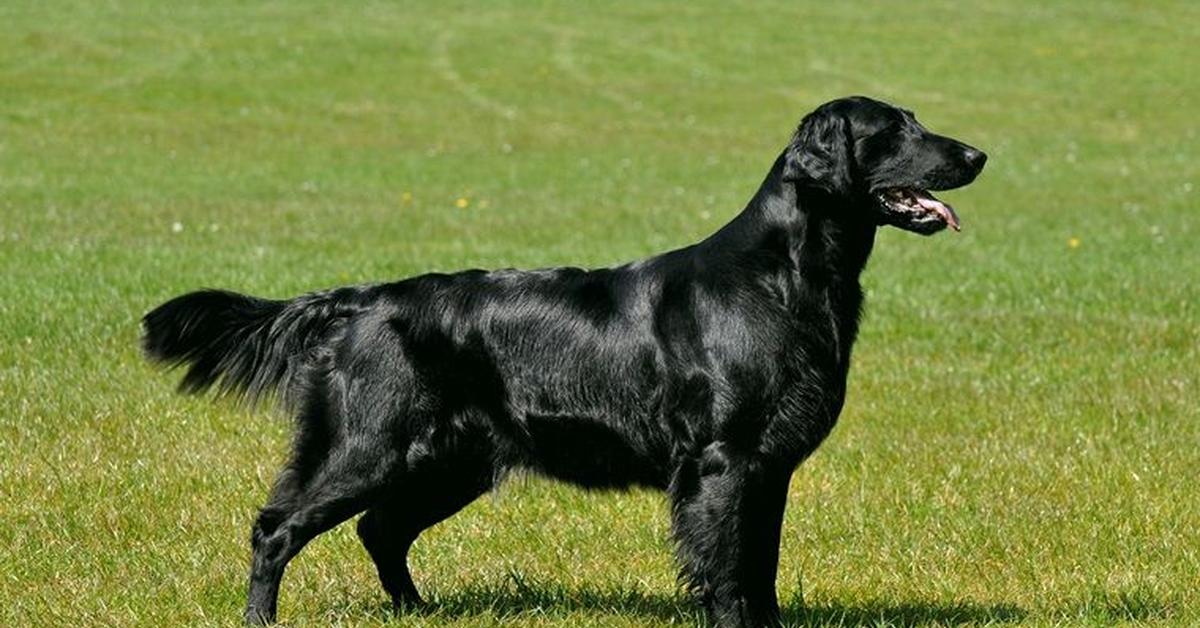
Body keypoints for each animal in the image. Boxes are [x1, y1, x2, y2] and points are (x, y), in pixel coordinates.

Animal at [142, 96, 984, 624]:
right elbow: (728, 574)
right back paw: (262, 618)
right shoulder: (724, 461)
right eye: (893, 130)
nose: (978, 153)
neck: (787, 273)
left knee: (380, 530)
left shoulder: (766, 466)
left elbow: (760, 568)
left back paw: (418, 612)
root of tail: (362, 299)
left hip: (449, 461)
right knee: (276, 528)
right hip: (369, 446)